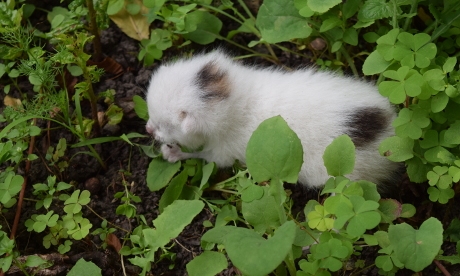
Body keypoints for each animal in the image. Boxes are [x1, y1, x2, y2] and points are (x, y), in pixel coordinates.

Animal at [146, 50, 400, 188]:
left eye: (165, 126)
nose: (148, 129)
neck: (234, 99)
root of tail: (388, 130)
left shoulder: (224, 152)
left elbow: (204, 156)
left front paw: (172, 153)